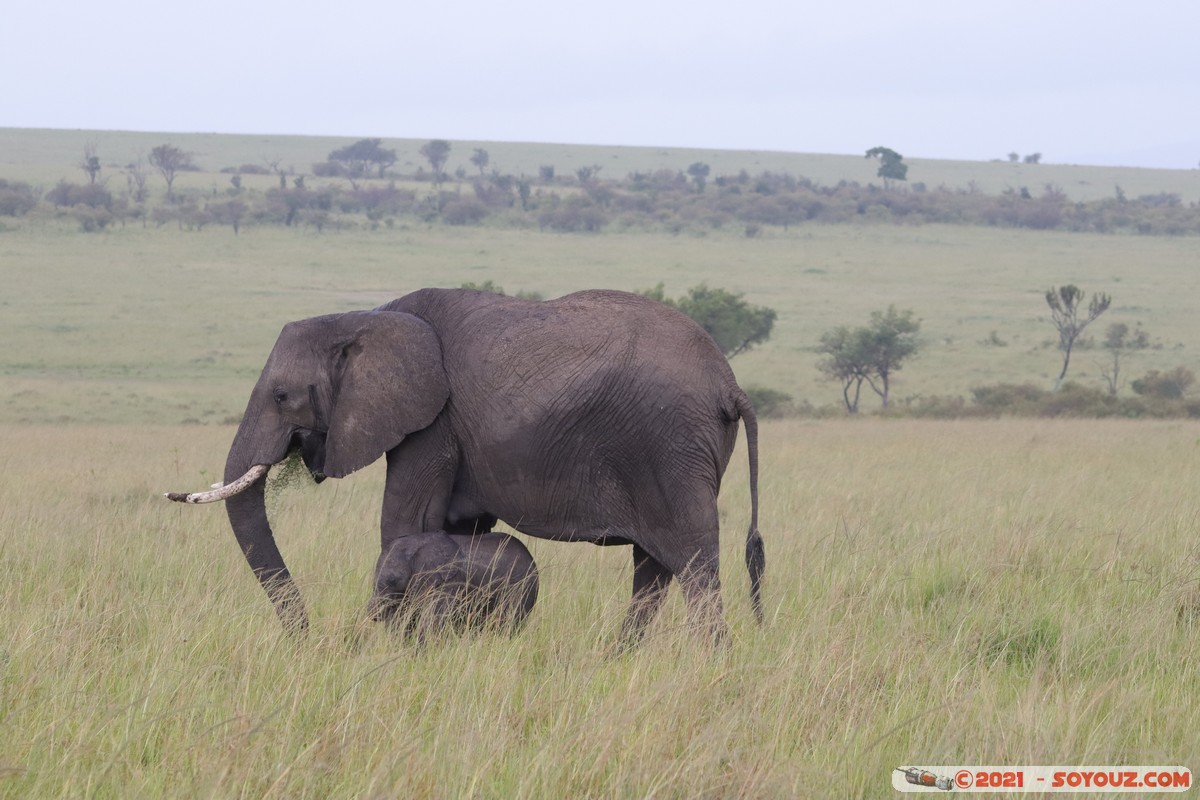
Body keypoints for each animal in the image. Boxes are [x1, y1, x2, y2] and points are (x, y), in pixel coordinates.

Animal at [369, 532, 540, 638]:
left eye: (393, 581)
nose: (373, 616)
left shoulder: (450, 581)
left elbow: (433, 621)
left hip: (521, 586)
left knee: (508, 622)